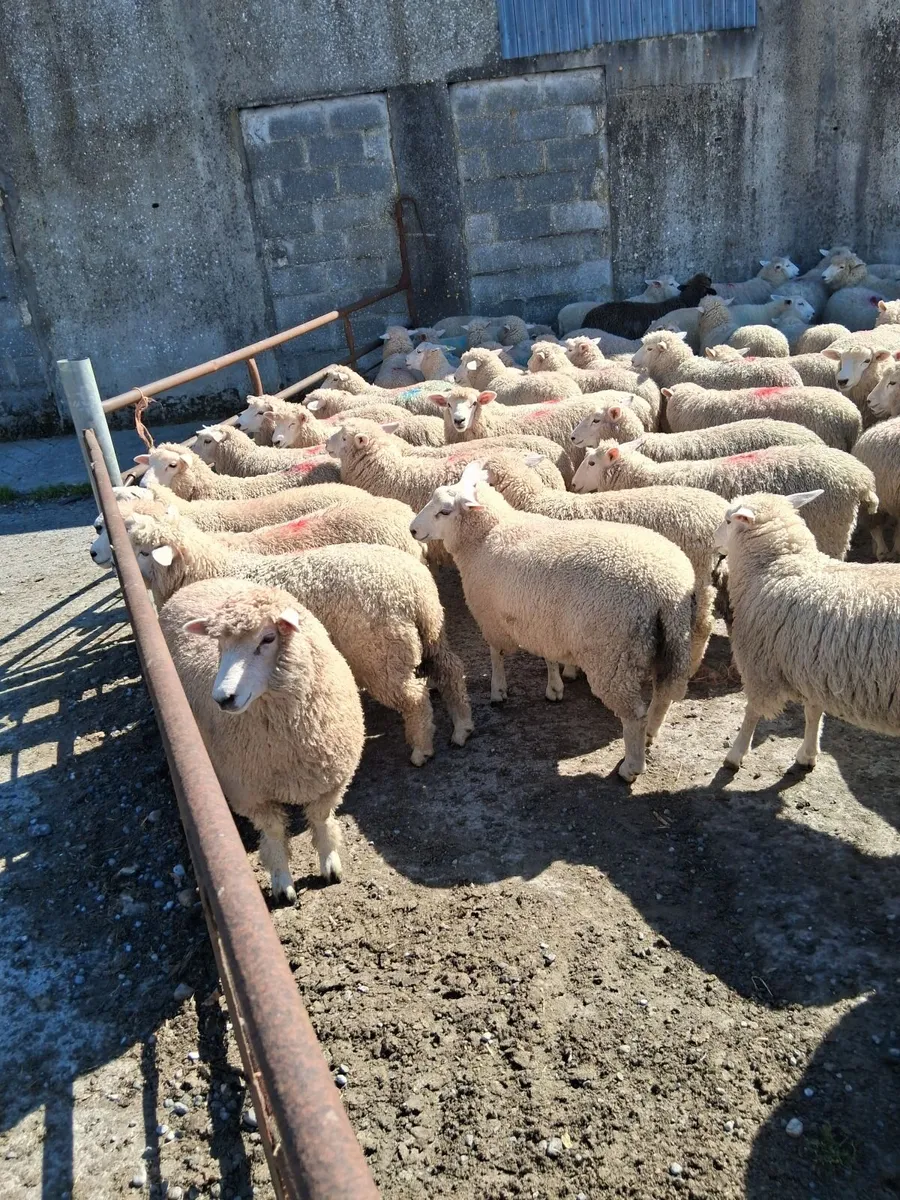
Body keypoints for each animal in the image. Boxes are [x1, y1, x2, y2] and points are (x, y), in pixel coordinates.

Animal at [127, 514, 473, 765]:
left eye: (143, 552)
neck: (208, 568)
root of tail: (414, 587)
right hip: (430, 633)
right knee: (451, 669)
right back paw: (462, 726)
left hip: (380, 653)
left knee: (413, 697)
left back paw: (421, 749)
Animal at [159, 579, 364, 902]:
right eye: (219, 644)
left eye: (268, 638)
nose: (223, 698)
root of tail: (198, 583)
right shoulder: (251, 794)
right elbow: (274, 834)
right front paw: (282, 881)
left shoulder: (331, 780)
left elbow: (321, 820)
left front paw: (330, 862)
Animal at [410, 463, 696, 782]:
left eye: (444, 511)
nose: (413, 530)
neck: (488, 535)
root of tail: (666, 587)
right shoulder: (543, 618)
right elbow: (548, 655)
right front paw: (555, 686)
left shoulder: (490, 616)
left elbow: (495, 654)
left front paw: (498, 690)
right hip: (670, 642)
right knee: (663, 695)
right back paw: (650, 736)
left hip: (612, 655)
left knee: (634, 714)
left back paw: (631, 766)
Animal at [714, 490, 900, 772]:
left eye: (728, 521)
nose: (713, 540)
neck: (779, 566)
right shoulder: (813, 666)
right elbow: (813, 712)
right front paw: (808, 754)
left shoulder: (761, 666)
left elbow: (752, 712)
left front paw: (735, 754)